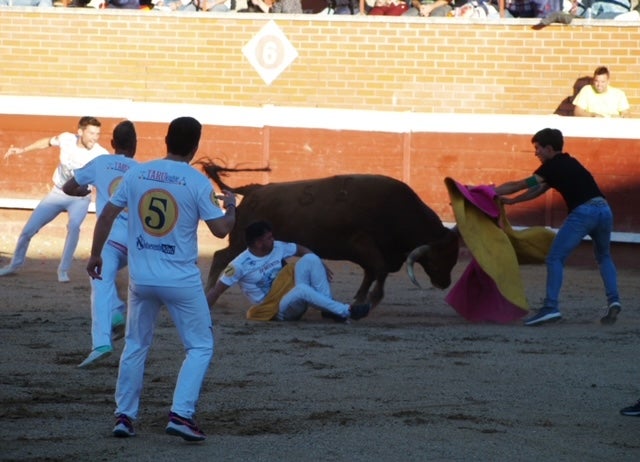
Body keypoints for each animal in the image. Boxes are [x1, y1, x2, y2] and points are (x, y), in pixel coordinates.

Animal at [202, 164, 458, 308]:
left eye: (454, 258)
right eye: (437, 259)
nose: (445, 283)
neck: (398, 211)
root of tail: (253, 189)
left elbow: (371, 272)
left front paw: (360, 298)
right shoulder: (364, 243)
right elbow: (380, 269)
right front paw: (373, 299)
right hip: (241, 241)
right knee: (220, 256)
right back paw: (207, 293)